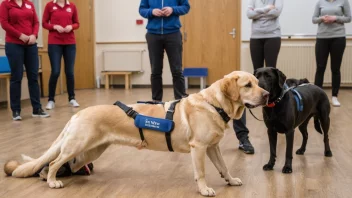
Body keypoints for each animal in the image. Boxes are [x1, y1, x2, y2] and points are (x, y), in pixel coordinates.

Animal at [4, 71, 268, 196]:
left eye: (258, 82)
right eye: (247, 85)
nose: (267, 95)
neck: (215, 104)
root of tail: (77, 114)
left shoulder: (212, 147)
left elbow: (224, 166)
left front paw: (231, 180)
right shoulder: (199, 148)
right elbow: (201, 173)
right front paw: (204, 190)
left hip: (91, 152)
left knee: (67, 163)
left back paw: (50, 176)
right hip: (78, 145)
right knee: (55, 162)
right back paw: (52, 181)